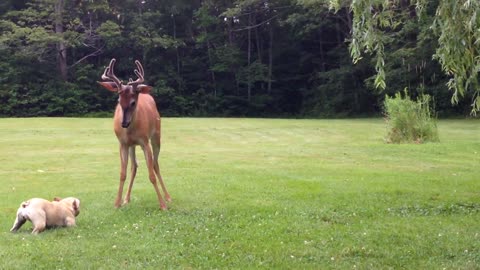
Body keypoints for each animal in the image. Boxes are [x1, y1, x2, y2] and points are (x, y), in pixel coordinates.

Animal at [97, 58, 171, 211]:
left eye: (133, 102)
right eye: (118, 101)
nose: (123, 123)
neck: (131, 130)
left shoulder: (144, 142)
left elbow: (151, 174)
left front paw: (162, 205)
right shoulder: (123, 143)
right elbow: (122, 173)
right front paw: (117, 203)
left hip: (156, 136)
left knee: (155, 164)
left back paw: (167, 197)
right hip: (132, 145)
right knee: (134, 166)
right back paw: (126, 198)